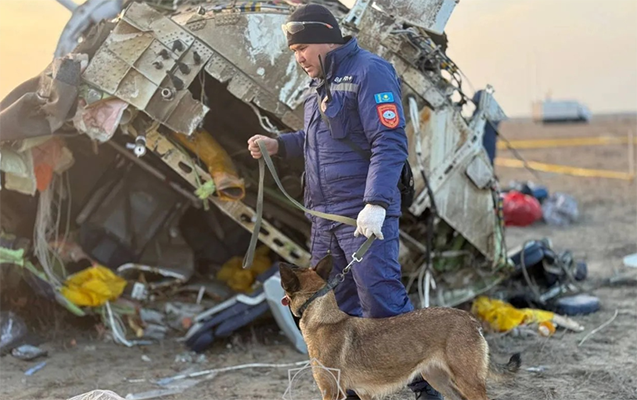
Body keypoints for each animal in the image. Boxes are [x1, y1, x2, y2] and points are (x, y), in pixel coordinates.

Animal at [280, 256, 520, 400]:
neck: (322, 316)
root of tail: (470, 319)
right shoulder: (360, 393)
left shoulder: (331, 390)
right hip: (439, 379)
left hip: (467, 382)